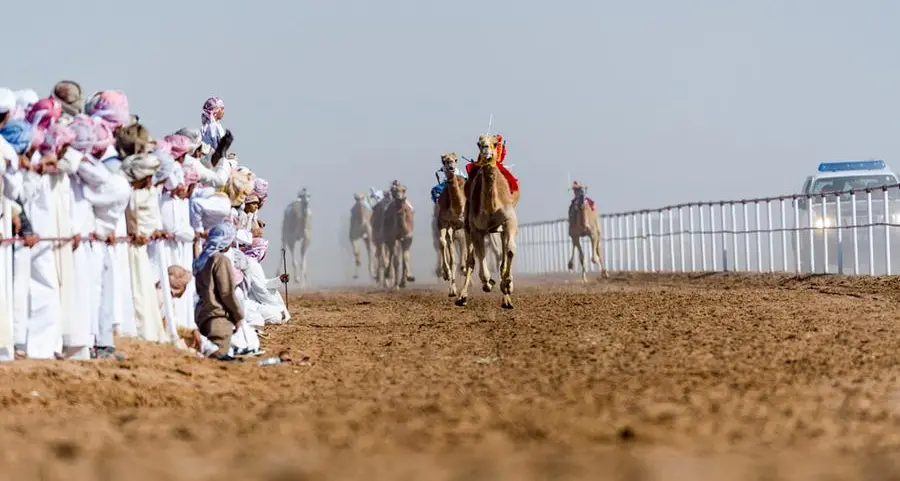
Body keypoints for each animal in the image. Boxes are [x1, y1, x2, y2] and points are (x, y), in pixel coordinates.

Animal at [436, 153, 472, 296]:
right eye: (444, 160)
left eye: (455, 159)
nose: (451, 167)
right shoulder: (444, 222)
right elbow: (442, 243)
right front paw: (446, 274)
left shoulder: (464, 225)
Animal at [458, 133, 520, 310]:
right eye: (479, 143)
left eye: (495, 142)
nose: (486, 150)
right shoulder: (477, 228)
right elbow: (480, 257)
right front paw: (488, 283)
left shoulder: (509, 222)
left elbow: (509, 251)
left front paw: (508, 284)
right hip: (468, 227)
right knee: (471, 260)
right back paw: (462, 297)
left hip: (499, 230)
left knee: (502, 254)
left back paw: (507, 299)